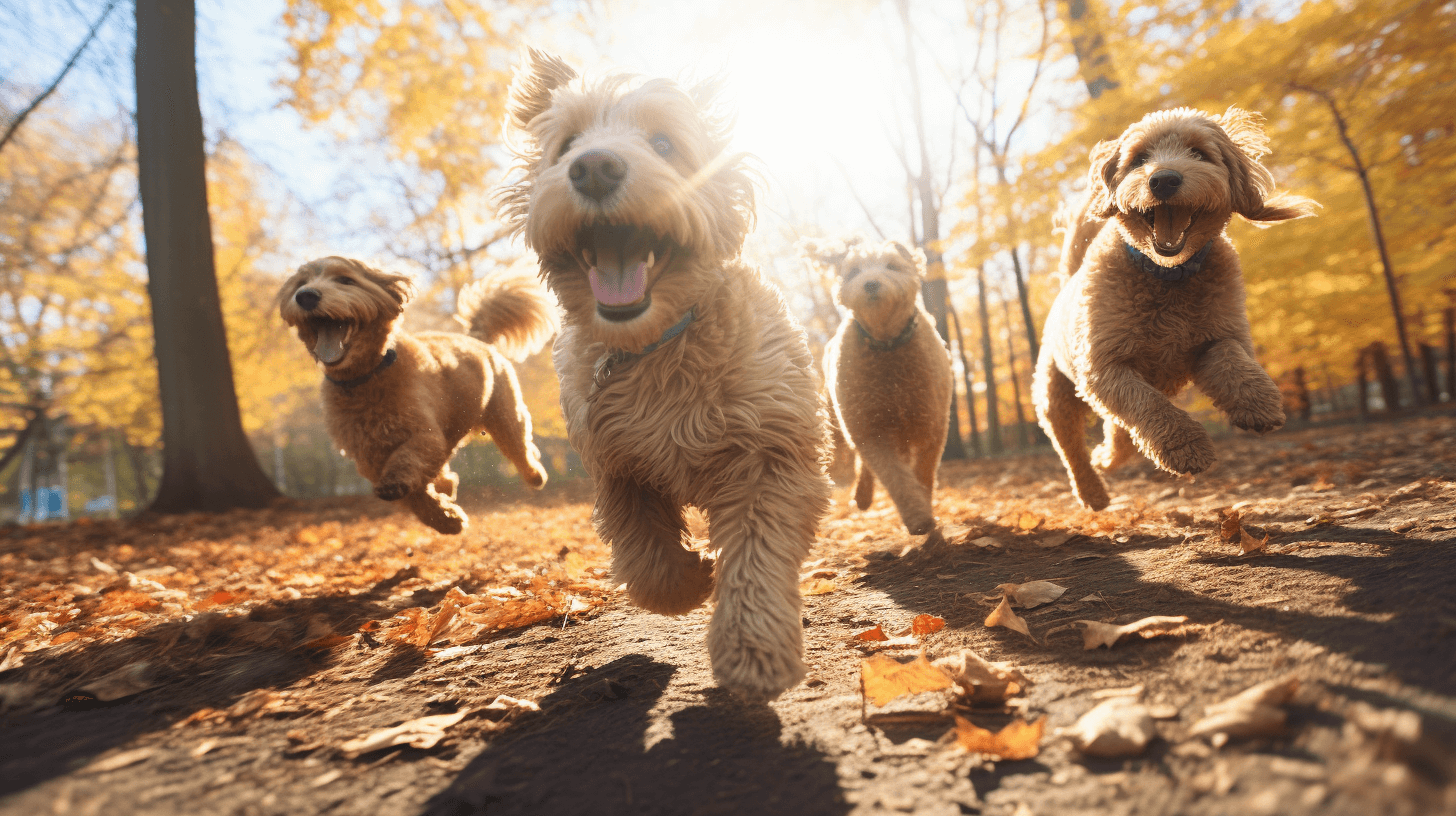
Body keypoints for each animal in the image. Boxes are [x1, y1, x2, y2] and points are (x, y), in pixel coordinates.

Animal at [275, 256, 553, 536]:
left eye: (345, 280)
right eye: (301, 283)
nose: (305, 296)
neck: (365, 378)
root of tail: (477, 339)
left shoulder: (423, 435)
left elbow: (407, 460)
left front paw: (435, 509)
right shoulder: (368, 456)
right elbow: (414, 496)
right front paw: (445, 518)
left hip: (506, 415)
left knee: (520, 448)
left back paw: (535, 474)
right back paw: (447, 485)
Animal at [497, 52, 832, 702]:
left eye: (663, 143)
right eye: (566, 145)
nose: (594, 167)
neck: (655, 348)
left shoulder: (772, 455)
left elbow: (756, 555)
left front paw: (753, 653)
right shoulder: (617, 466)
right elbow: (645, 560)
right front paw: (690, 580)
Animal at [797, 237, 955, 536]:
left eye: (892, 266)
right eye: (854, 272)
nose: (870, 284)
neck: (887, 345)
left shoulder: (931, 425)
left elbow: (924, 472)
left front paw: (924, 503)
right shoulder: (872, 431)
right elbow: (895, 477)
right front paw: (918, 517)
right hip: (846, 420)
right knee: (863, 462)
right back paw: (862, 496)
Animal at [1036, 104, 1322, 507]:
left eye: (1199, 154)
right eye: (1139, 159)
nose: (1164, 180)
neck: (1168, 276)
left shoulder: (1217, 334)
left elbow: (1233, 361)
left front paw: (1258, 403)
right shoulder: (1105, 366)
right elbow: (1150, 405)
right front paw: (1187, 449)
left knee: (1120, 433)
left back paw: (1106, 458)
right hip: (1055, 396)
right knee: (1073, 449)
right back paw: (1093, 492)